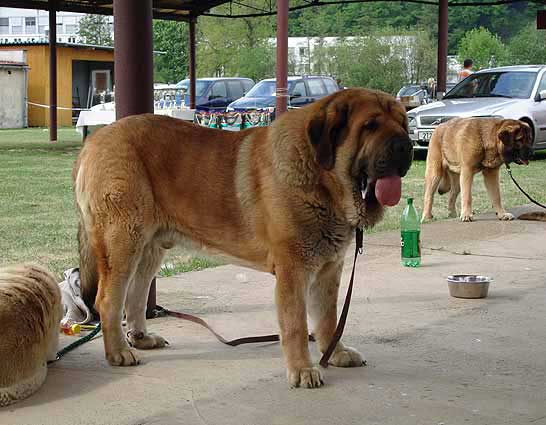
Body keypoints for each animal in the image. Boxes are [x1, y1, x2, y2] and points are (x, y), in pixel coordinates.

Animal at [74, 88, 410, 388]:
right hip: (123, 241)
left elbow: (329, 318)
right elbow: (297, 324)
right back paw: (119, 352)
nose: (406, 146)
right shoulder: (293, 271)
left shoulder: (329, 269)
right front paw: (303, 370)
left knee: (136, 293)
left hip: (150, 248)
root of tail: (94, 140)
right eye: (370, 126)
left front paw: (335, 353)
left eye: (403, 123)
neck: (322, 180)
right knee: (109, 300)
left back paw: (142, 339)